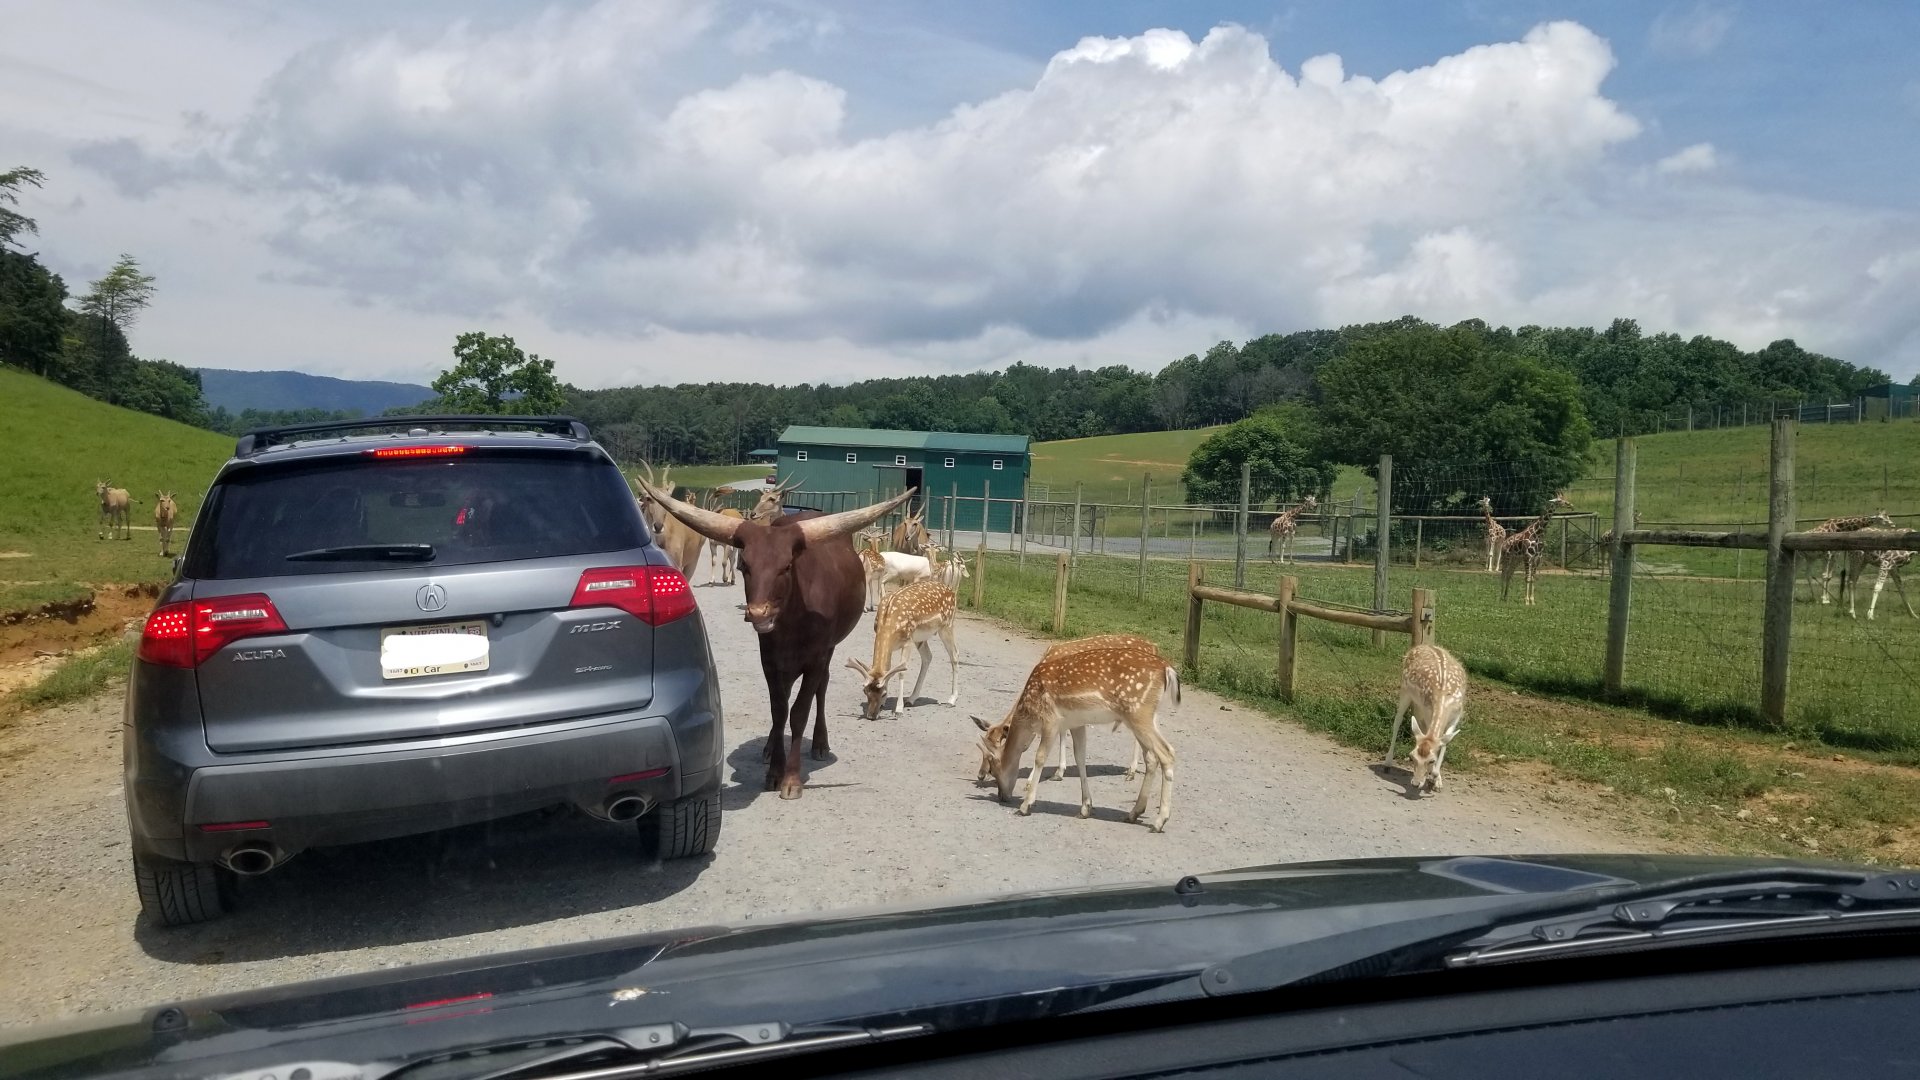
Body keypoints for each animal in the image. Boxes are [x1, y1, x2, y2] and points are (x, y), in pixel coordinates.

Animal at [635, 468, 913, 799]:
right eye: (745, 566)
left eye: (787, 566)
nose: (758, 613)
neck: (793, 620)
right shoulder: (769, 659)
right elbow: (779, 711)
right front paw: (774, 772)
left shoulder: (815, 658)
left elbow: (800, 711)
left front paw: (791, 779)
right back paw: (769, 747)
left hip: (828, 651)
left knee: (821, 688)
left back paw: (820, 743)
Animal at [846, 579, 958, 719]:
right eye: (865, 691)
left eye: (883, 693)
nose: (871, 715)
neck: (889, 623)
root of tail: (951, 591)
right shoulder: (891, 647)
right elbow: (888, 669)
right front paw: (884, 704)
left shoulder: (907, 642)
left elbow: (901, 672)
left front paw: (898, 709)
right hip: (920, 638)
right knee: (928, 656)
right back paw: (911, 699)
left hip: (947, 625)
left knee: (954, 655)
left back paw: (952, 699)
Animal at [974, 636, 1179, 832]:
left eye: (993, 769)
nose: (1002, 796)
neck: (1029, 713)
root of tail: (1167, 668)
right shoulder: (1076, 723)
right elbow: (1080, 757)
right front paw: (1085, 808)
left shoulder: (1051, 720)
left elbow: (1040, 757)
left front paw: (1025, 805)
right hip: (1145, 716)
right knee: (1152, 757)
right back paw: (1134, 813)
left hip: (1138, 712)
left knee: (1167, 753)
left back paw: (1159, 821)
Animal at [1384, 643, 1467, 794]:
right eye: (1412, 756)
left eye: (1431, 760)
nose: (1415, 783)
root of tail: (1423, 645)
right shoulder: (1428, 712)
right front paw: (1433, 779)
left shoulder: (1457, 715)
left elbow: (1444, 742)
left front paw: (1436, 781)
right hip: (1405, 690)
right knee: (1398, 720)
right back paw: (1387, 763)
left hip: (1418, 705)